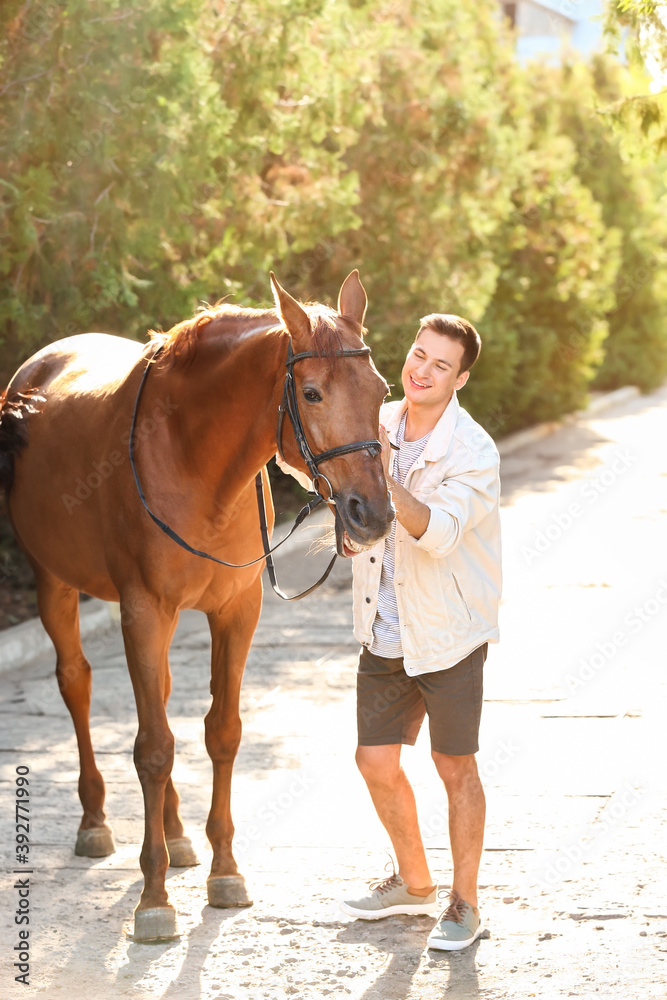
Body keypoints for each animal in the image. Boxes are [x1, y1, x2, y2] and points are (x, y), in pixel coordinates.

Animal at [0, 272, 394, 936]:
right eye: (311, 392)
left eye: (382, 390)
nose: (374, 513)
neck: (191, 455)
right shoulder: (143, 609)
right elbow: (153, 749)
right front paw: (154, 899)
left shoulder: (236, 610)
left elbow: (221, 732)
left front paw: (224, 872)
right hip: (53, 580)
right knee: (77, 683)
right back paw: (95, 821)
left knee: (156, 696)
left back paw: (178, 832)